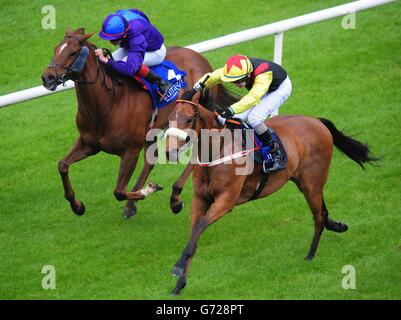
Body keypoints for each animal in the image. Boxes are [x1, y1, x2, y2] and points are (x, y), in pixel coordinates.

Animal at [41, 28, 230, 218]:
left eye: (73, 52)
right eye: (56, 48)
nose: (47, 77)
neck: (108, 104)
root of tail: (198, 55)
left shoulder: (130, 151)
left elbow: (119, 191)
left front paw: (149, 189)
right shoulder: (89, 143)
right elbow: (62, 165)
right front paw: (77, 206)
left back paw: (175, 199)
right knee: (151, 160)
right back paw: (133, 205)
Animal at [164, 98, 376, 296]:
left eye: (189, 119)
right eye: (169, 120)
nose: (169, 151)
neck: (217, 150)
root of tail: (316, 121)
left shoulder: (225, 201)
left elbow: (199, 228)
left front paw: (178, 267)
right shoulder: (200, 200)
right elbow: (194, 234)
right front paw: (180, 283)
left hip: (312, 183)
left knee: (318, 216)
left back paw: (310, 256)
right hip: (307, 183)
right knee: (323, 212)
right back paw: (337, 226)